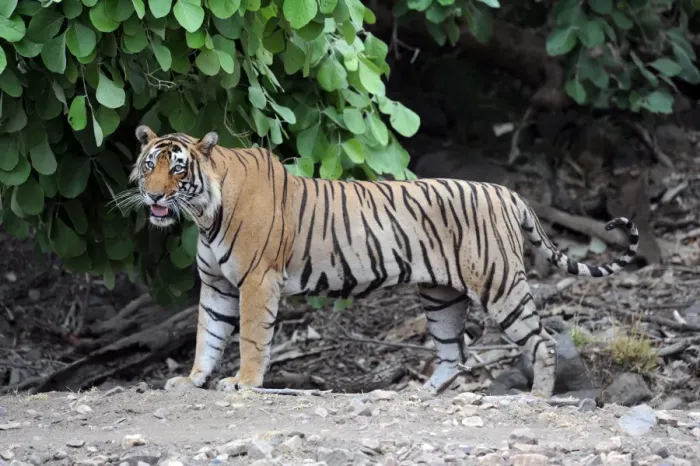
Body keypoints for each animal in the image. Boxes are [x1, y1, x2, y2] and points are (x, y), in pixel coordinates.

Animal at [126, 125, 639, 398]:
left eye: (177, 169)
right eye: (149, 164)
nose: (153, 196)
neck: (203, 213)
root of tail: (507, 191)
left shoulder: (257, 280)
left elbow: (251, 338)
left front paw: (244, 383)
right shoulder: (216, 286)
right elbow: (207, 337)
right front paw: (192, 380)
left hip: (500, 286)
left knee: (543, 341)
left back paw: (537, 397)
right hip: (440, 297)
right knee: (455, 353)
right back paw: (420, 394)